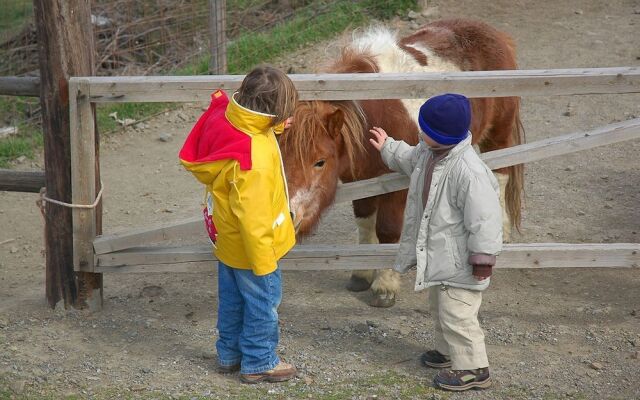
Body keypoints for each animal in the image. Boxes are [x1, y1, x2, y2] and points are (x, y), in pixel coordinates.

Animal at [280, 18, 524, 308]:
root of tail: (495, 34)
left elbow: (387, 229)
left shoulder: (397, 184)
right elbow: (365, 222)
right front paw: (362, 274)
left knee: (501, 175)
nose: (288, 215)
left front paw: (385, 286)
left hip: (499, 135)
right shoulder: (361, 180)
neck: (376, 113)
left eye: (320, 162)